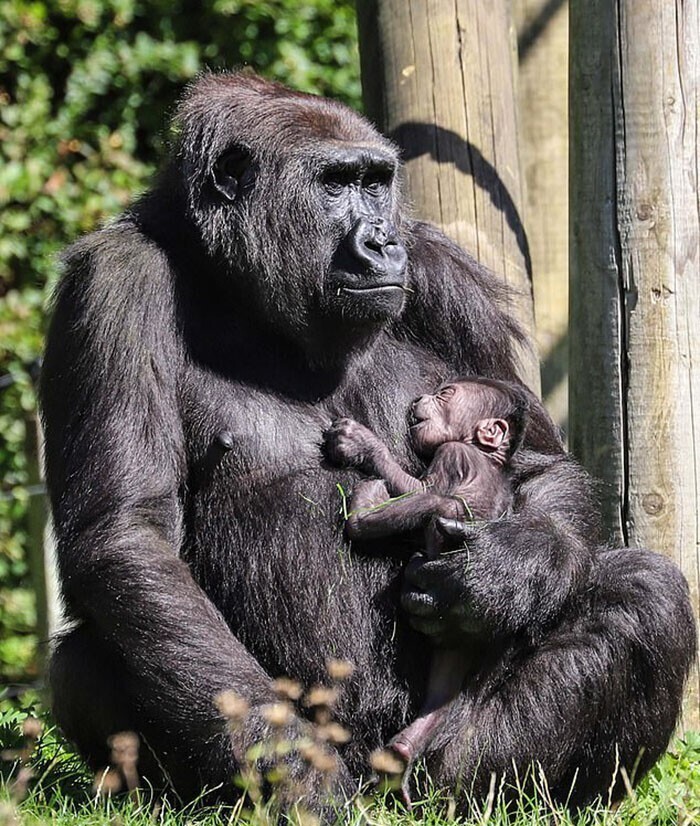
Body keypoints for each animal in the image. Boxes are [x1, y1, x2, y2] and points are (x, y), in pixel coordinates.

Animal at [326, 376, 528, 788]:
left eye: (445, 395)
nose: (421, 397)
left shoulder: (454, 453)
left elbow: (421, 490)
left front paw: (363, 445)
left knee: (438, 505)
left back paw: (362, 514)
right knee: (445, 685)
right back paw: (405, 749)